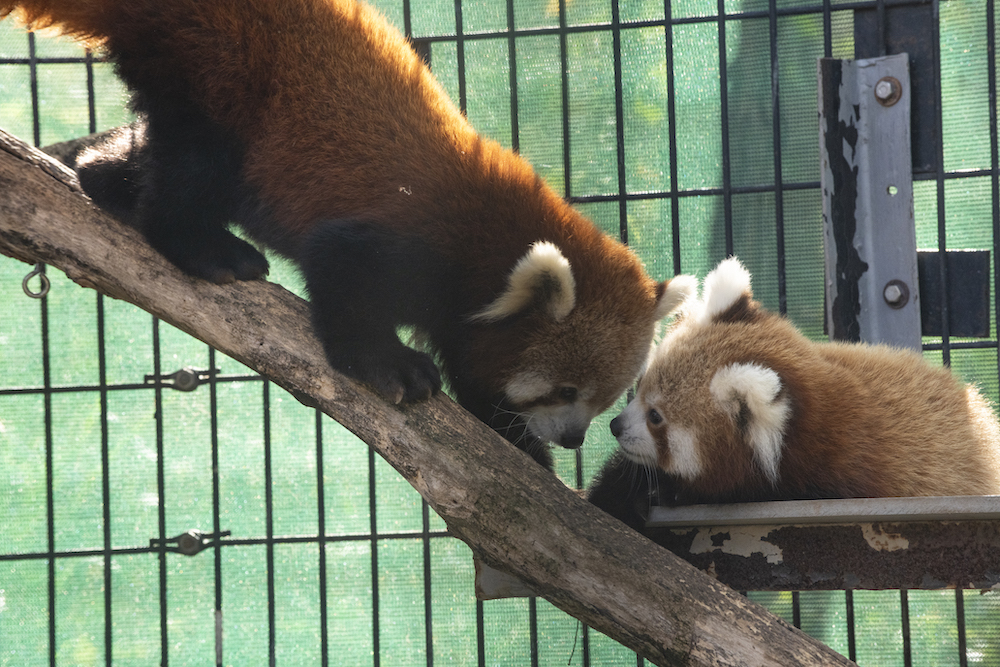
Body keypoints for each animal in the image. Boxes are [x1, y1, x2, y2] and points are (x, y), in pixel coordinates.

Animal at [2, 0, 684, 468]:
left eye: (604, 398)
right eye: (564, 389)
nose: (574, 438)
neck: (489, 241)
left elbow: (473, 366)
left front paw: (515, 440)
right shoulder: (409, 239)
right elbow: (343, 275)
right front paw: (393, 367)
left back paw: (105, 177)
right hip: (224, 66)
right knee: (195, 160)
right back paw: (206, 248)